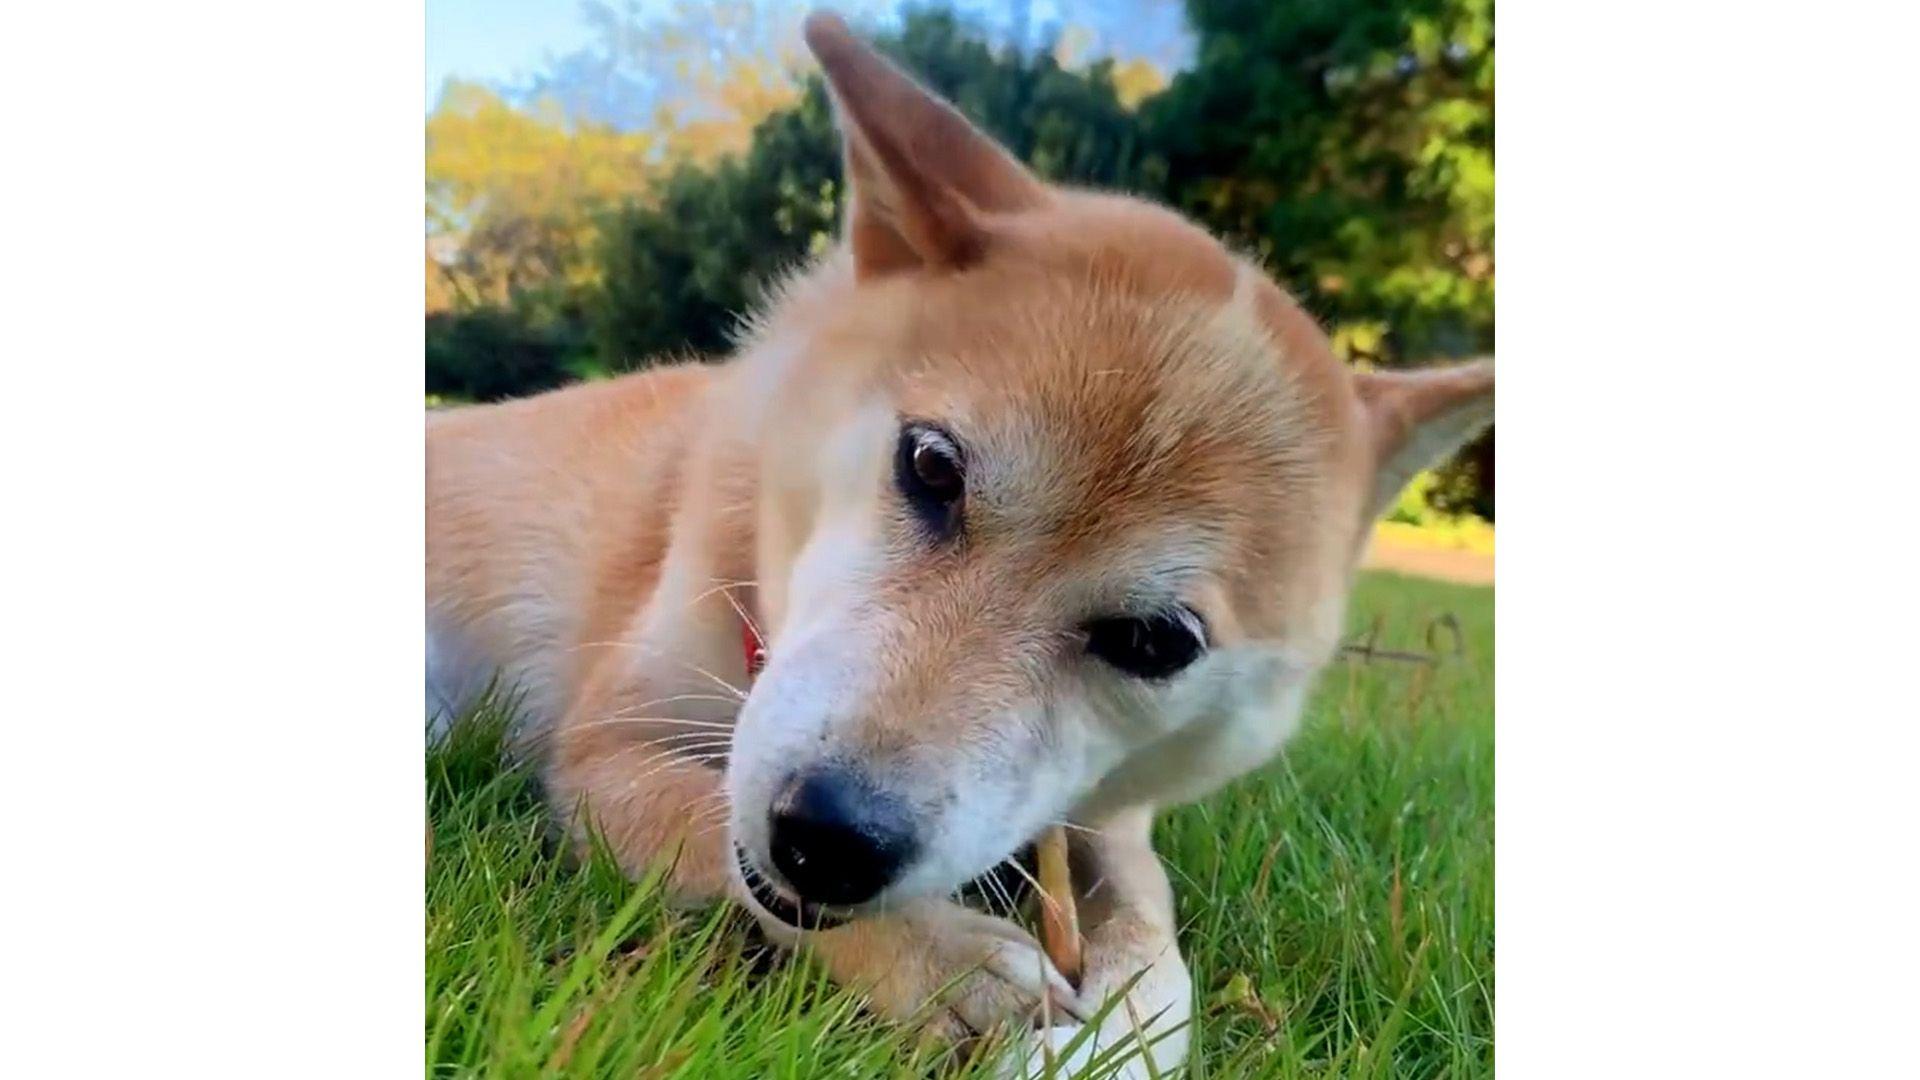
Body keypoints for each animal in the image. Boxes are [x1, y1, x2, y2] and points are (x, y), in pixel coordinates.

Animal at [428, 12, 1489, 1068]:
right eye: (932, 466)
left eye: (1157, 642)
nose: (827, 837)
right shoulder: (607, 755)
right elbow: (707, 818)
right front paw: (947, 962)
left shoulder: (1107, 820)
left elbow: (1157, 948)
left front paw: (1115, 1035)